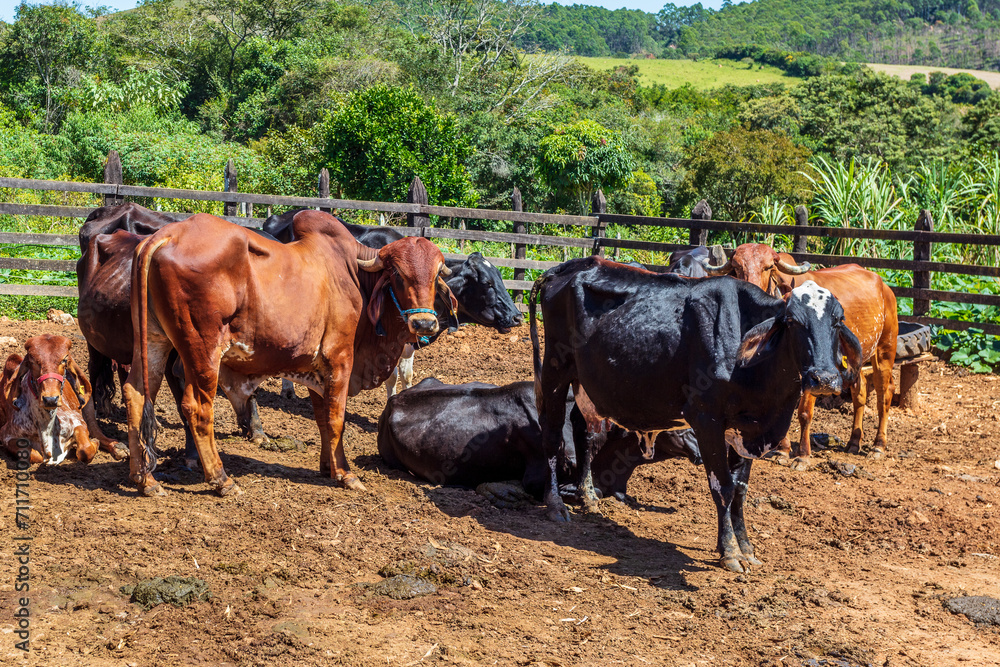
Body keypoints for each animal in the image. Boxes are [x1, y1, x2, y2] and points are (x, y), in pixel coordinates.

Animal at [1, 334, 125, 464]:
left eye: (64, 360)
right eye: (32, 361)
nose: (50, 399)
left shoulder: (77, 421)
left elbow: (85, 450)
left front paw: (93, 442)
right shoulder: (6, 435)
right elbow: (34, 455)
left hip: (89, 406)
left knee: (96, 431)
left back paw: (118, 448)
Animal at [123, 210, 455, 497]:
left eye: (436, 274)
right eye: (398, 274)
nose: (424, 323)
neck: (356, 277)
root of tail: (166, 235)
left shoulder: (318, 371)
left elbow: (323, 420)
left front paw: (328, 468)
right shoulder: (339, 360)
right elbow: (337, 419)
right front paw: (346, 474)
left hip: (152, 340)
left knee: (135, 393)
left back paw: (145, 479)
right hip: (202, 350)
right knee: (197, 407)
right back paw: (221, 480)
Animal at [265, 209, 522, 398]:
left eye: (501, 278)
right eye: (487, 283)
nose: (517, 316)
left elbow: (407, 374)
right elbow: (392, 376)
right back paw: (288, 391)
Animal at [529, 257, 861, 572]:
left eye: (837, 321)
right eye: (792, 321)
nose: (824, 378)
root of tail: (568, 267)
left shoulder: (744, 430)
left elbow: (740, 489)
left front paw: (746, 547)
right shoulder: (707, 421)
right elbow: (723, 487)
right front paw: (730, 552)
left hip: (584, 382)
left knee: (583, 429)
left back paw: (588, 497)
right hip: (555, 370)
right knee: (552, 433)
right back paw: (556, 504)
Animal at [705, 243, 898, 467]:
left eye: (768, 267)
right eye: (736, 267)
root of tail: (884, 286)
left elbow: (804, 412)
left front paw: (803, 455)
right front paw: (782, 450)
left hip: (884, 351)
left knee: (884, 394)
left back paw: (878, 445)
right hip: (856, 360)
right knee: (860, 393)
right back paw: (853, 442)